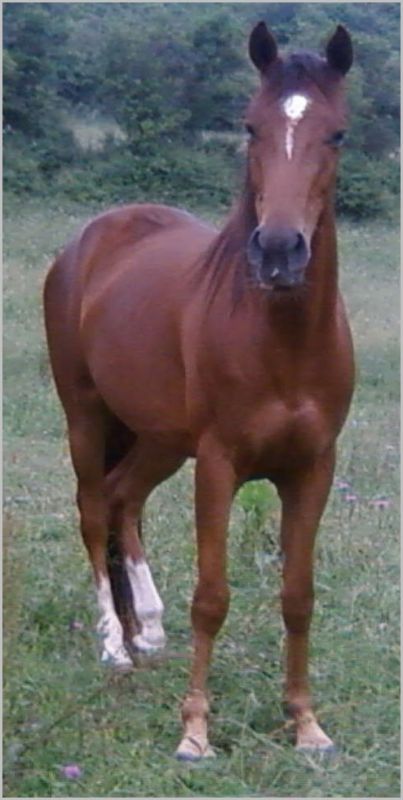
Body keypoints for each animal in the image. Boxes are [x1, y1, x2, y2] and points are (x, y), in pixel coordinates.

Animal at [44, 22, 355, 760]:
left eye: (335, 134)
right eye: (249, 126)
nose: (279, 251)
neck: (282, 342)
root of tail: (91, 238)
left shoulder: (313, 467)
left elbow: (298, 595)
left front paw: (305, 724)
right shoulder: (218, 464)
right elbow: (212, 597)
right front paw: (194, 731)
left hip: (157, 439)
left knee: (124, 498)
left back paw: (148, 629)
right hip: (86, 415)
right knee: (94, 509)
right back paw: (114, 644)